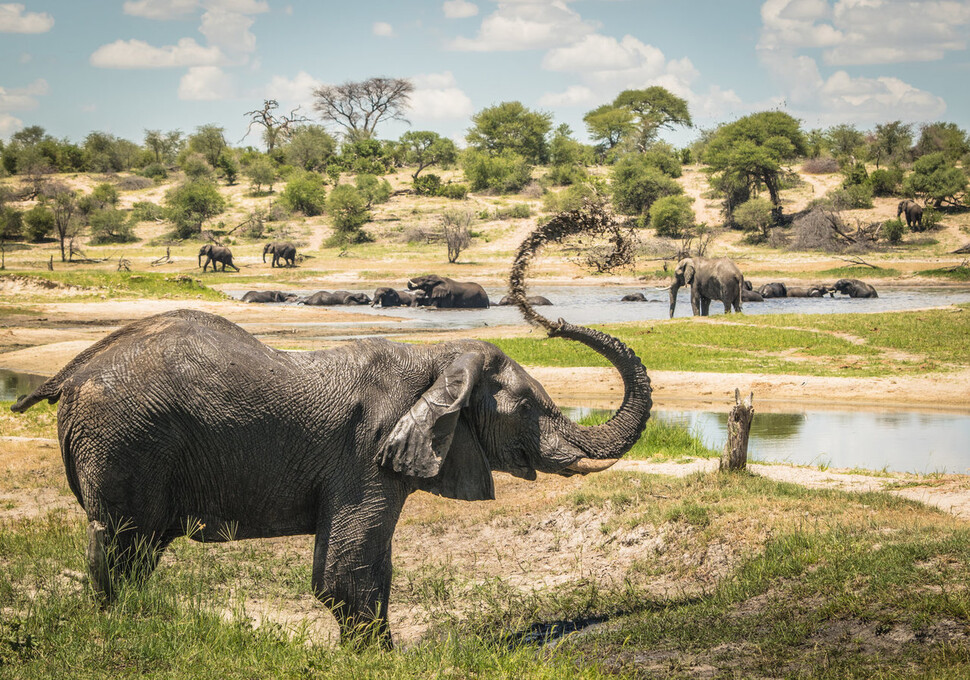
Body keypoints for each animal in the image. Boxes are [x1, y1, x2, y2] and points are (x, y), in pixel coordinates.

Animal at [9, 239, 652, 648]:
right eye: (528, 409)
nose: (549, 320)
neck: (434, 358)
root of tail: (73, 371)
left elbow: (369, 569)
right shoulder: (366, 454)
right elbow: (346, 577)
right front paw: (381, 662)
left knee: (128, 552)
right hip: (126, 441)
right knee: (122, 548)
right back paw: (126, 631)